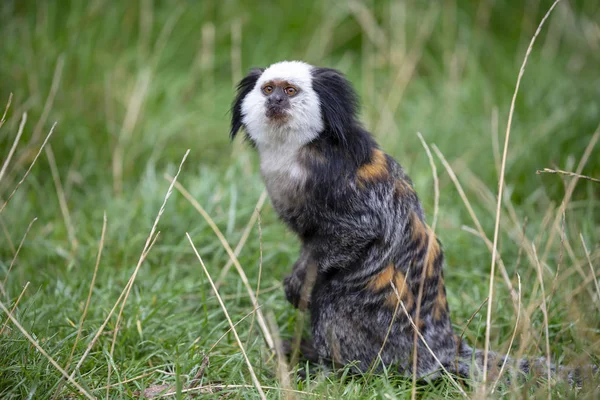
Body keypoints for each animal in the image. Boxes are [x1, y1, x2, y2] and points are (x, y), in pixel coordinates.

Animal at [229, 61, 596, 386]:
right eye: (268, 89)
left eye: (290, 90)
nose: (276, 101)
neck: (297, 150)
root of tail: (441, 349)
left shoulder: (339, 183)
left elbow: (355, 231)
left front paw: (300, 280)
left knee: (331, 298)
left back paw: (330, 366)